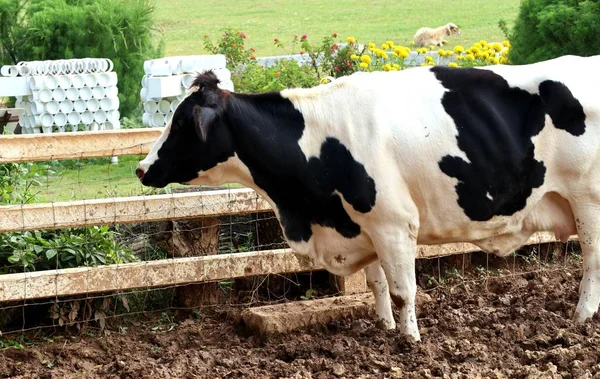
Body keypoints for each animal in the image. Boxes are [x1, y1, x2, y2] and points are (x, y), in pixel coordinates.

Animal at [138, 55, 600, 342]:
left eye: (181, 123)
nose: (141, 168)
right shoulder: (366, 225)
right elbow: (378, 284)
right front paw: (384, 329)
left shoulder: (394, 223)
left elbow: (403, 290)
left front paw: (410, 341)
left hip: (589, 201)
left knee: (592, 263)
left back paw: (581, 318)